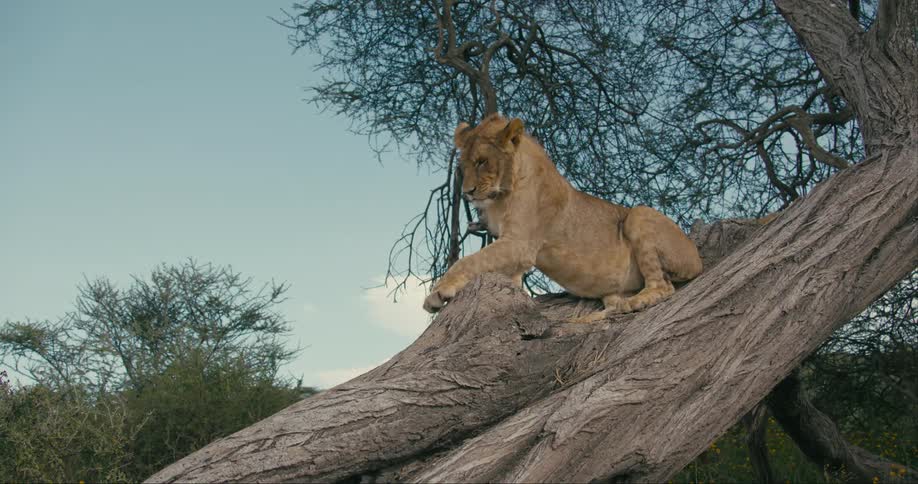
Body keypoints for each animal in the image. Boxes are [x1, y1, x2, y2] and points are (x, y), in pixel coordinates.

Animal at [423, 114, 703, 323]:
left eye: (482, 162)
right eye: (463, 166)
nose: (467, 192)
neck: (501, 195)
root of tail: (698, 259)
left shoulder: (520, 244)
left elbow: (469, 261)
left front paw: (438, 292)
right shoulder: (514, 253)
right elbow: (499, 272)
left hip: (640, 213)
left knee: (663, 286)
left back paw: (633, 303)